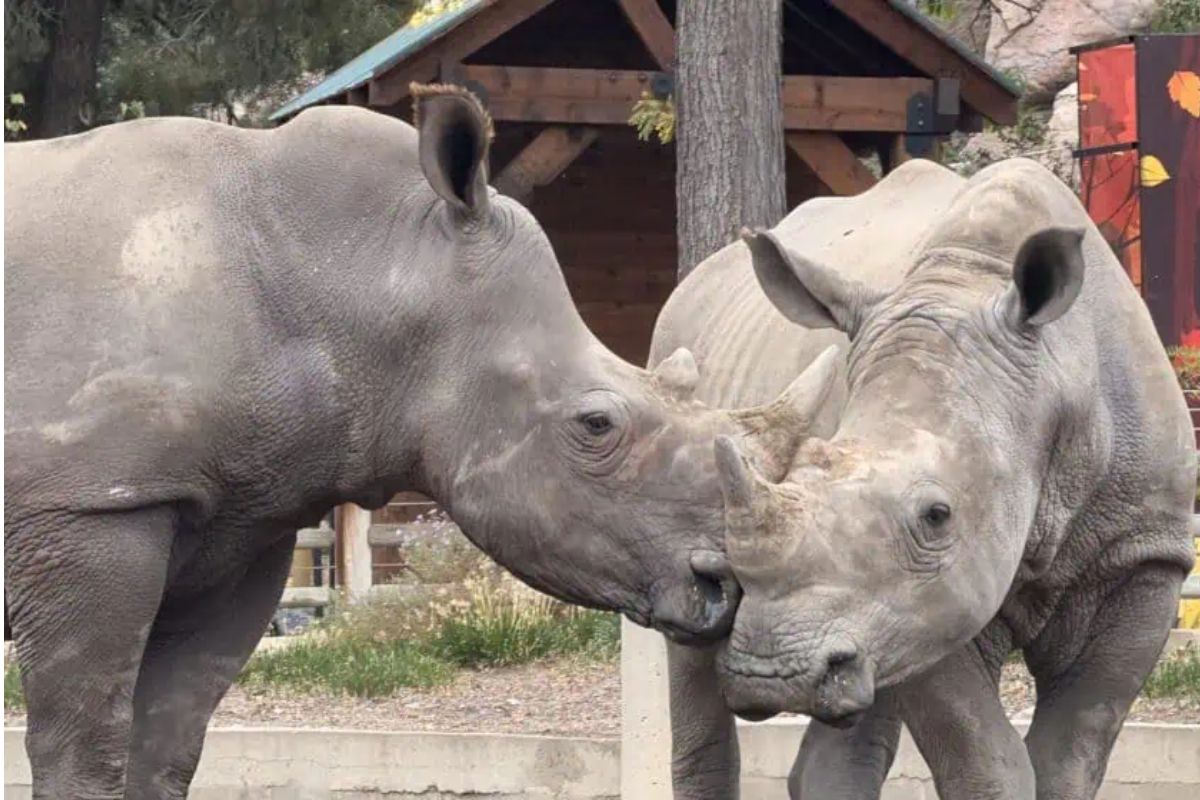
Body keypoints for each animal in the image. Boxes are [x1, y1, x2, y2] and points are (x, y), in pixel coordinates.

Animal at [3, 87, 824, 799]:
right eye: (596, 426)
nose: (725, 585)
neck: (362, 273)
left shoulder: (245, 520)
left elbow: (168, 743)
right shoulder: (90, 504)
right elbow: (85, 746)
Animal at [651, 159, 1196, 799]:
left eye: (936, 515)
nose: (773, 674)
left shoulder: (1140, 553)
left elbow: (1074, 749)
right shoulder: (923, 599)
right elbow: (984, 757)